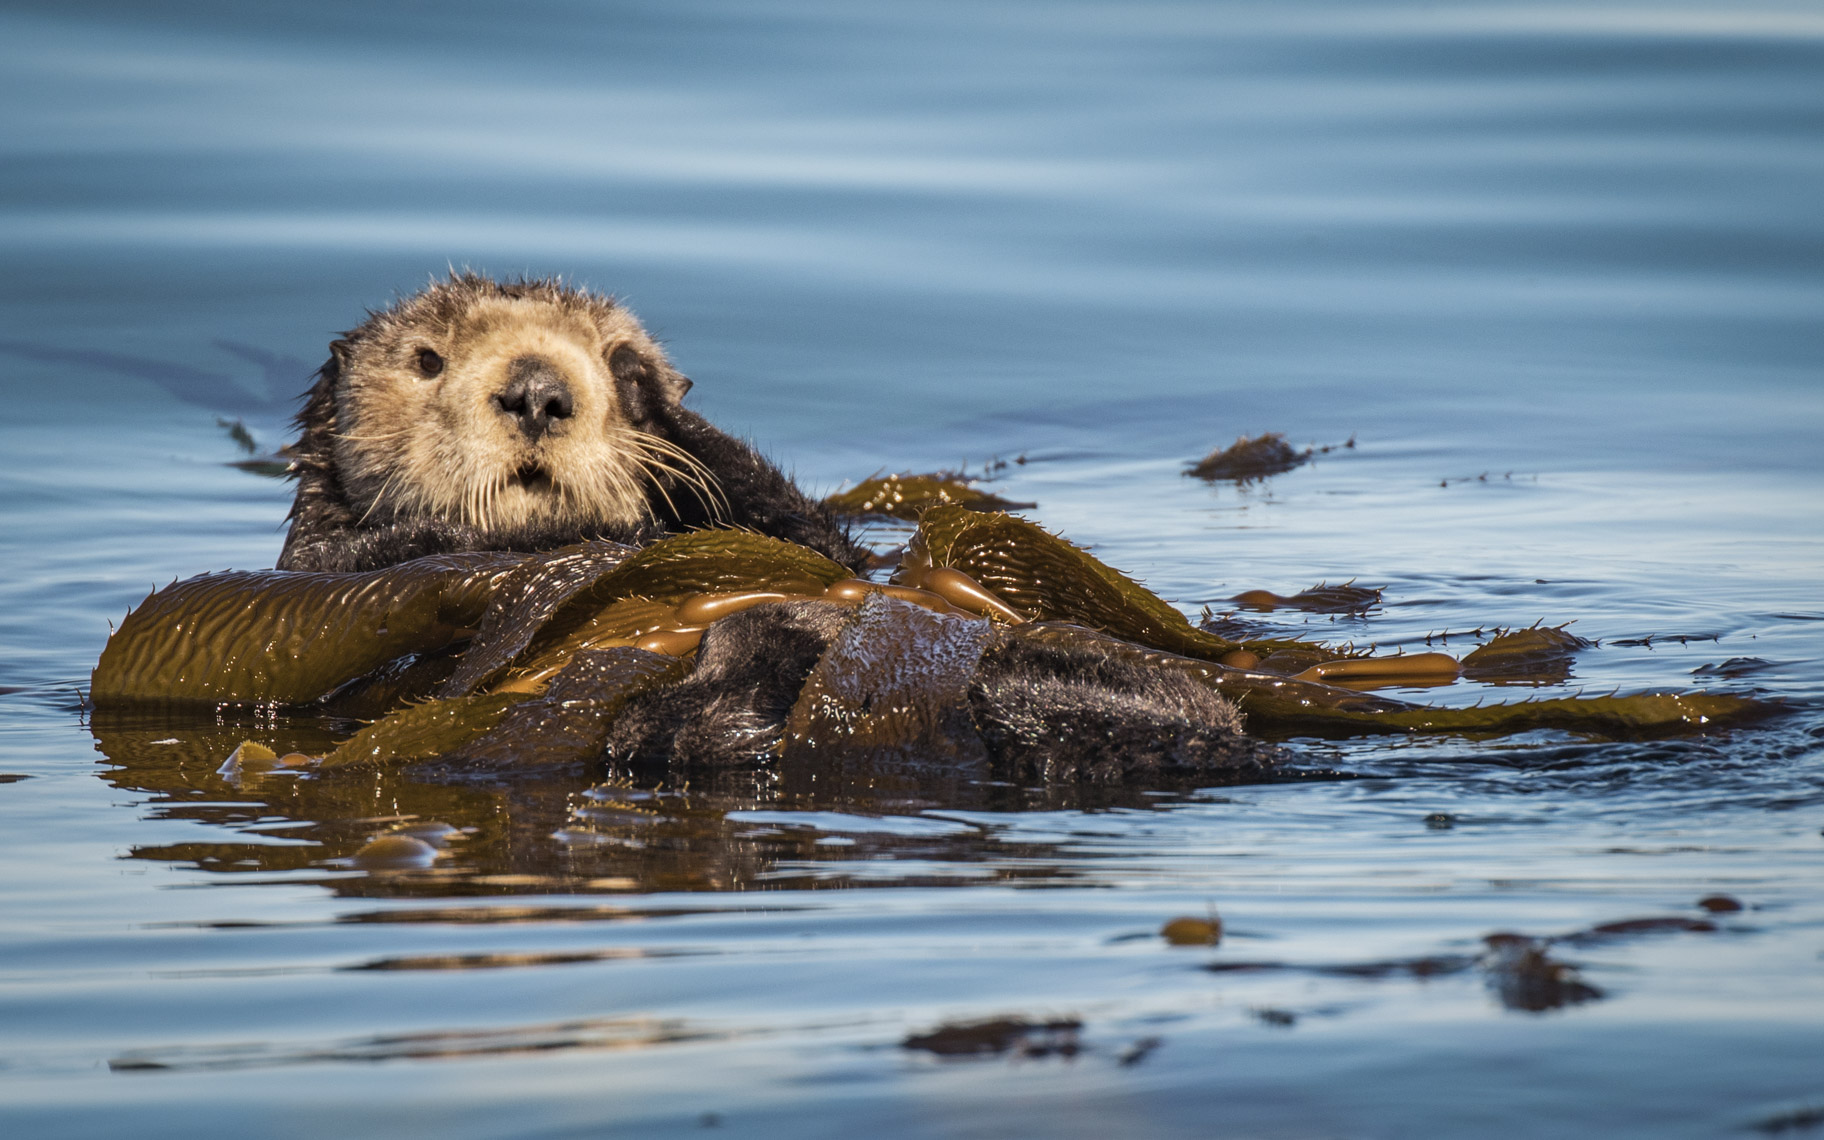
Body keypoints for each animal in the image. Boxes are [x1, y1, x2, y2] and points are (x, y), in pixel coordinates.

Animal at [279, 274, 864, 573]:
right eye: (427, 360)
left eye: (607, 349)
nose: (537, 393)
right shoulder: (313, 564)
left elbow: (826, 554)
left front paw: (635, 378)